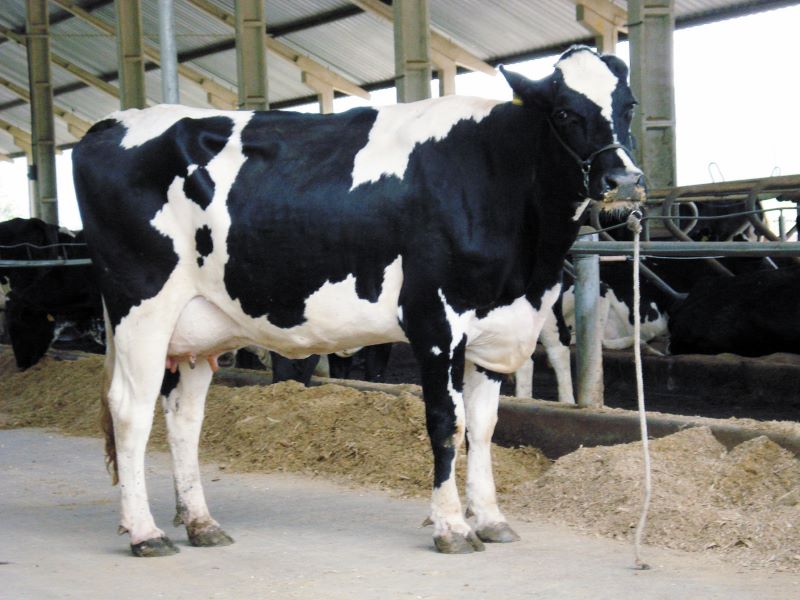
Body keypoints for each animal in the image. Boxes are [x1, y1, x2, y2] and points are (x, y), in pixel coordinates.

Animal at [72, 46, 644, 557]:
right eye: (565, 112)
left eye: (629, 105)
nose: (625, 180)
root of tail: (111, 123)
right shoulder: (435, 322)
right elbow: (447, 424)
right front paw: (452, 527)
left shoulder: (495, 327)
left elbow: (483, 429)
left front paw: (491, 518)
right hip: (142, 309)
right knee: (130, 410)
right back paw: (145, 533)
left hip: (194, 327)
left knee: (184, 418)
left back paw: (200, 523)